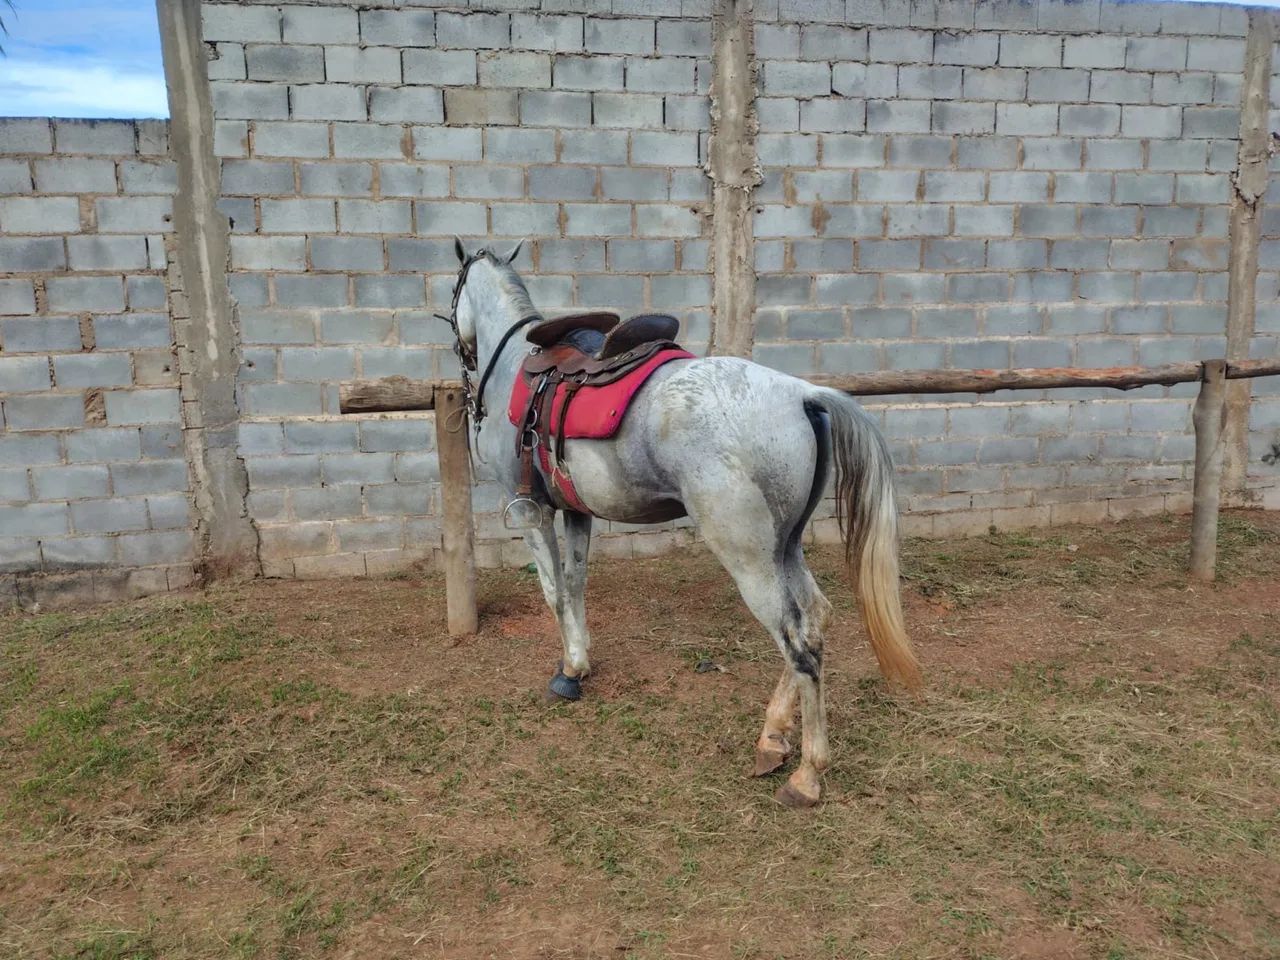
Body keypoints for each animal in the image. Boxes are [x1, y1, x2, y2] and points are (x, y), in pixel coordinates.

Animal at [444, 240, 920, 807]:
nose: (463, 354)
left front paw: (567, 671)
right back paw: (773, 736)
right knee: (815, 617)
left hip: (749, 558)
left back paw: (807, 774)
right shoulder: (578, 512)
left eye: (453, 291)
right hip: (784, 546)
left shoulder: (531, 511)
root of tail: (801, 394)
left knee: (799, 643)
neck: (519, 363)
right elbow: (576, 584)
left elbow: (554, 592)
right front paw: (578, 666)